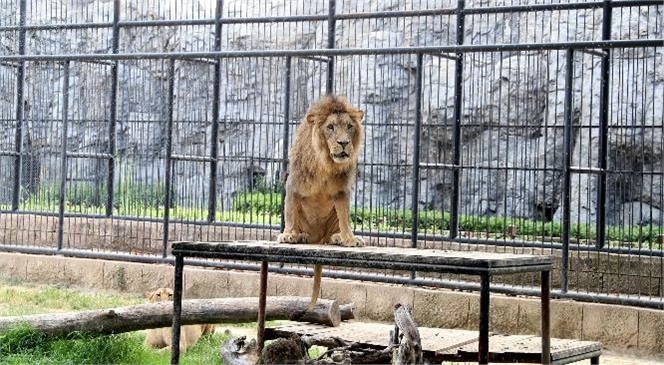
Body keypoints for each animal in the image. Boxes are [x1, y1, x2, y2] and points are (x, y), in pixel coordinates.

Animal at [278, 93, 366, 308]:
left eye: (349, 126)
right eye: (331, 127)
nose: (343, 143)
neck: (326, 163)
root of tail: (318, 239)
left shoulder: (342, 190)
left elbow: (345, 218)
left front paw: (349, 238)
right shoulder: (293, 182)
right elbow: (290, 211)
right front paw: (288, 235)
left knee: (333, 231)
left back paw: (337, 238)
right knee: (301, 226)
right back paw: (300, 236)